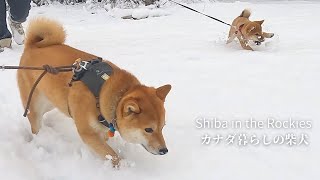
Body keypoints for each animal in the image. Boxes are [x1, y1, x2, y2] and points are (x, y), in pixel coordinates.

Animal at [16, 17, 172, 167]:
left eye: (162, 127)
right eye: (148, 129)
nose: (164, 150)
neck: (101, 93)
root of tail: (32, 46)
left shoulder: (102, 129)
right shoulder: (88, 133)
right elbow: (112, 155)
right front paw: (121, 167)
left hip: (52, 101)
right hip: (35, 105)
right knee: (35, 123)